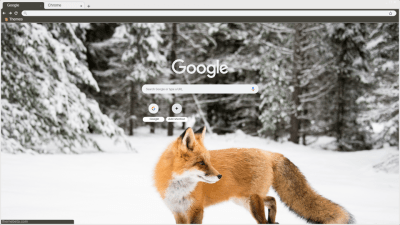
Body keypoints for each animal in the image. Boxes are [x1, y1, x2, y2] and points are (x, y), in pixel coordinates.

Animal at [153, 126, 354, 223]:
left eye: (208, 161)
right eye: (202, 163)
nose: (219, 176)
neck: (179, 190)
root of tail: (268, 153)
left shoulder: (196, 210)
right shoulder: (178, 212)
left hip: (252, 202)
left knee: (265, 216)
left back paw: (270, 221)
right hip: (244, 200)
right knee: (272, 199)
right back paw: (273, 220)